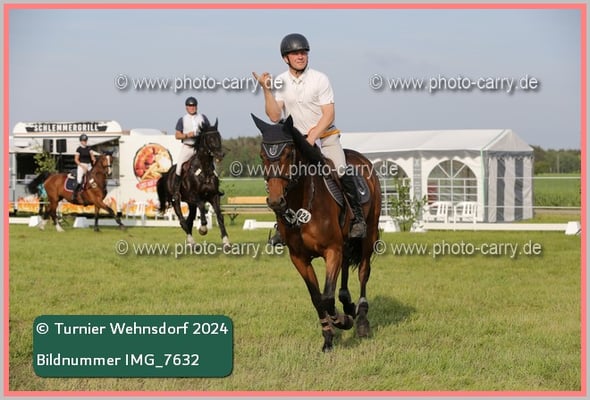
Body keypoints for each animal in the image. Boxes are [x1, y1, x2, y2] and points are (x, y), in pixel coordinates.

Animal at [157, 119, 230, 249]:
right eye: (209, 138)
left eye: (219, 137)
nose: (220, 154)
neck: (205, 170)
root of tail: (168, 173)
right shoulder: (194, 196)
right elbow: (202, 206)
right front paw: (203, 229)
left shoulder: (214, 196)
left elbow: (220, 216)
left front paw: (226, 242)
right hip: (176, 201)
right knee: (182, 220)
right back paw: (192, 241)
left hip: (190, 204)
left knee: (189, 220)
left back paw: (191, 242)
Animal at [252, 114, 382, 352]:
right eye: (262, 156)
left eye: (289, 153)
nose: (276, 201)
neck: (302, 202)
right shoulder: (300, 258)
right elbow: (317, 298)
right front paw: (329, 337)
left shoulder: (332, 250)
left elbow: (327, 297)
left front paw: (343, 322)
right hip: (346, 242)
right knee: (346, 269)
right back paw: (348, 304)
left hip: (368, 236)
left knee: (363, 272)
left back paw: (361, 320)